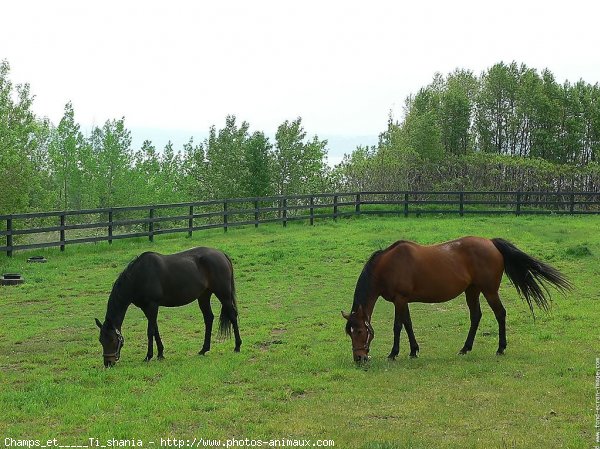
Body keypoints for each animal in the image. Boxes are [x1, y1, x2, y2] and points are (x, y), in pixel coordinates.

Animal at [95, 247, 240, 366]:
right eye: (101, 340)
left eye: (112, 340)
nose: (108, 363)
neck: (139, 276)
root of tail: (222, 254)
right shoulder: (146, 308)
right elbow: (155, 329)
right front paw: (160, 354)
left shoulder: (152, 305)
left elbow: (150, 331)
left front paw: (148, 356)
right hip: (204, 296)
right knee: (209, 318)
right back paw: (204, 349)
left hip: (223, 294)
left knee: (232, 315)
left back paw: (237, 347)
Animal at [342, 236, 572, 362]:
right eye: (349, 333)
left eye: (360, 331)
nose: (359, 358)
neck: (387, 265)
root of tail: (491, 243)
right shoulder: (404, 301)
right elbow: (408, 324)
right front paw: (414, 351)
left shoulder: (400, 299)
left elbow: (398, 326)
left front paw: (393, 353)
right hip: (472, 291)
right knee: (476, 316)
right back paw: (465, 348)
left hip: (489, 291)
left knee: (500, 314)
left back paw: (500, 348)